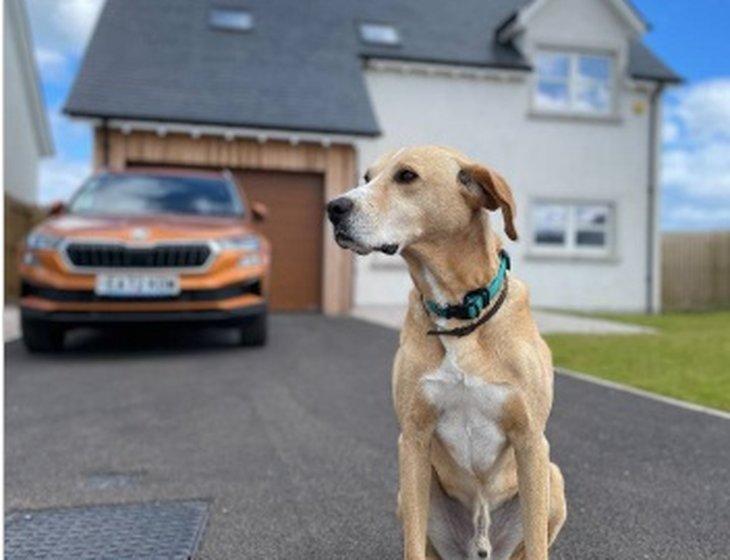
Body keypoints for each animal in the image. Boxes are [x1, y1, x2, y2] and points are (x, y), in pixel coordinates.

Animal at [328, 147, 564, 556]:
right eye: (366, 177)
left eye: (406, 176)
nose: (333, 207)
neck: (459, 314)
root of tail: (480, 544)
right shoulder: (413, 438)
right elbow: (412, 546)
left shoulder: (531, 440)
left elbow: (537, 546)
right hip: (409, 493)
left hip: (552, 476)